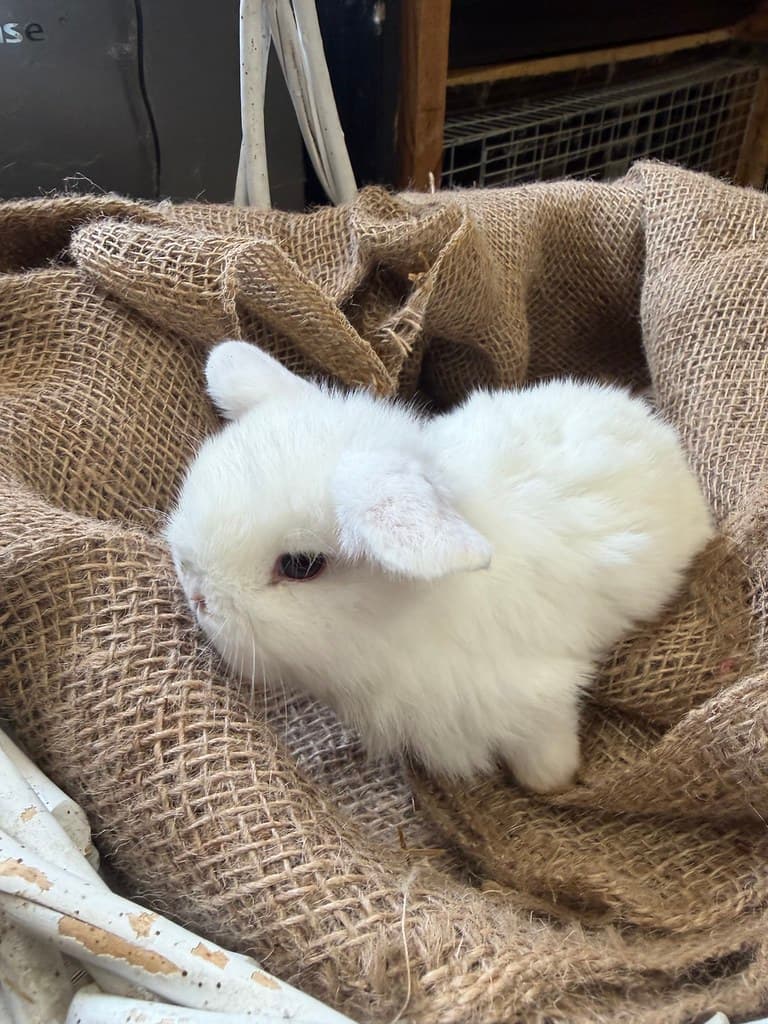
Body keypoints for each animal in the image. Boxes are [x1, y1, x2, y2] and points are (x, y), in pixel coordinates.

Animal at [164, 340, 714, 794]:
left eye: (300, 566)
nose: (198, 596)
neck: (395, 630)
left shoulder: (535, 700)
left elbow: (544, 747)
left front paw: (551, 781)